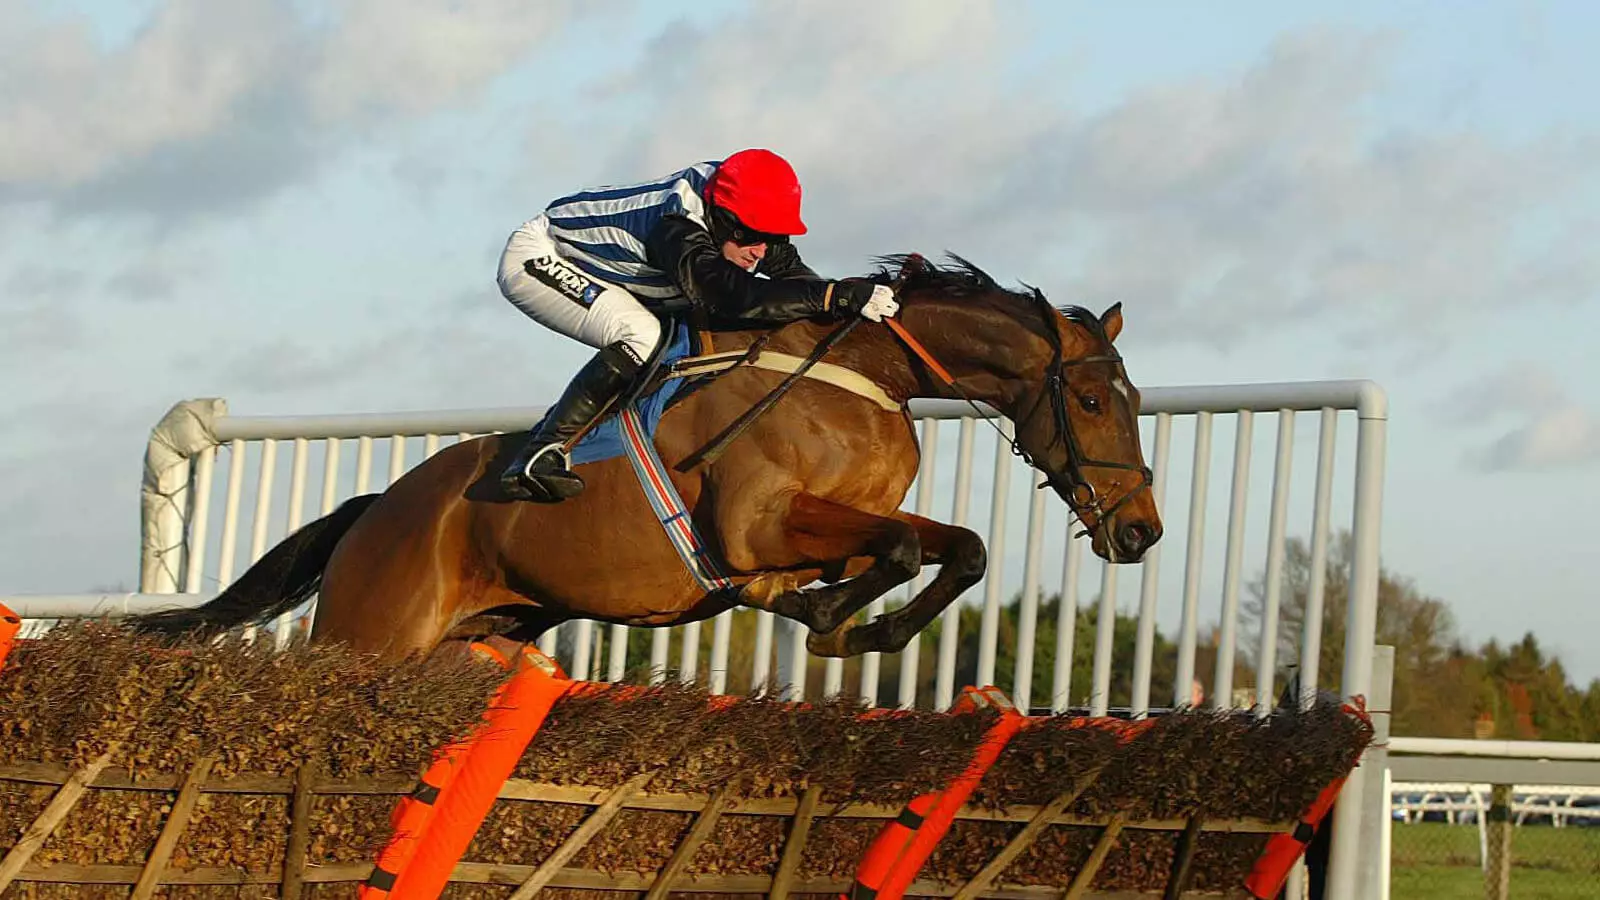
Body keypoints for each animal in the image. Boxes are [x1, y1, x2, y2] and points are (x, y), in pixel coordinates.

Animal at [127, 254, 1164, 665]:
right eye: (1091, 400)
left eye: (1135, 399)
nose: (1142, 532)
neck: (863, 375)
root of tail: (375, 509)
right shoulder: (754, 526)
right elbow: (904, 552)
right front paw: (831, 619)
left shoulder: (847, 522)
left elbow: (956, 547)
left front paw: (850, 627)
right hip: (372, 636)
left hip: (475, 641)